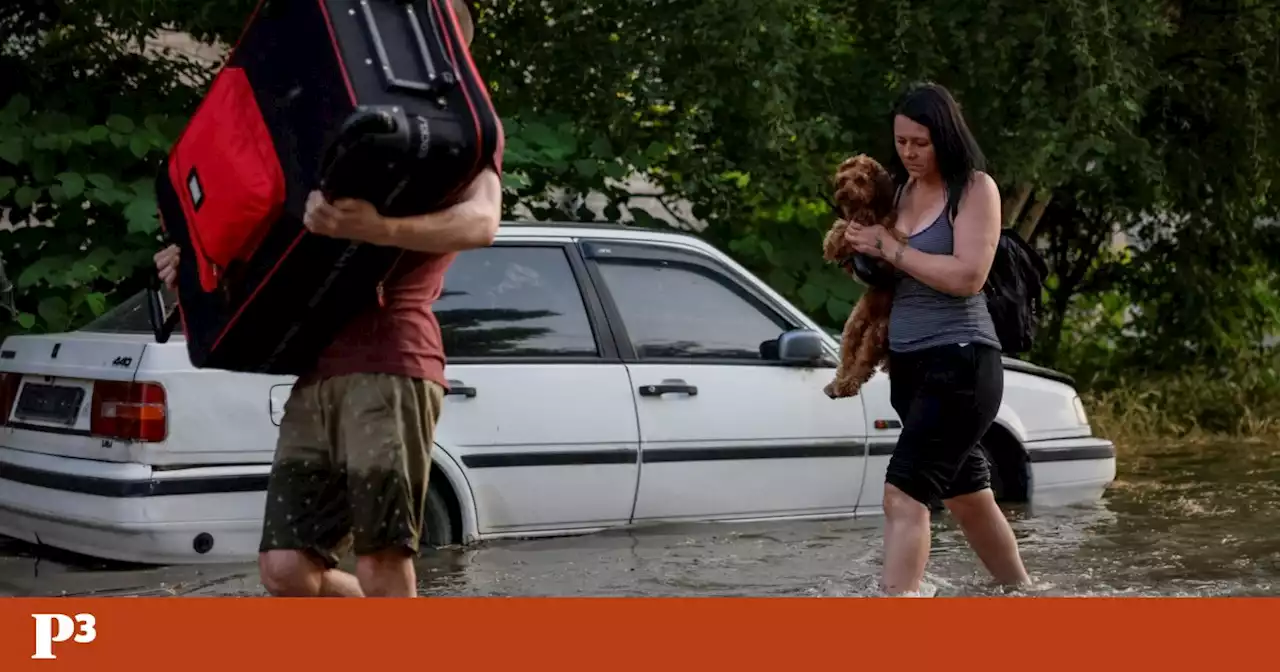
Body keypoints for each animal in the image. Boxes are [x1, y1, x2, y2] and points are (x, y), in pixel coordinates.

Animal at [824, 152, 906, 399]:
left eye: (860, 180)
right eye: (843, 180)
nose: (843, 192)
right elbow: (842, 226)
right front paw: (833, 241)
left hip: (878, 332)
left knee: (863, 364)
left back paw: (847, 384)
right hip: (854, 324)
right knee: (848, 357)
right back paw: (838, 383)